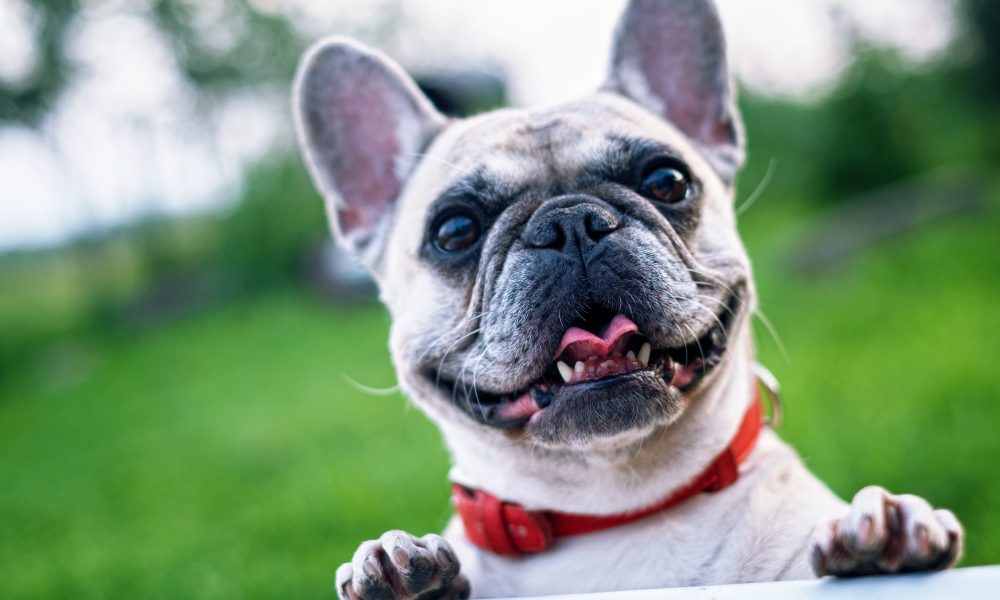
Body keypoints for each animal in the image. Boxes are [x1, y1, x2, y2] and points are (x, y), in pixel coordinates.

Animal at [292, 1, 964, 596]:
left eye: (667, 181)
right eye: (454, 229)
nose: (569, 222)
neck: (613, 510)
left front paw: (890, 534)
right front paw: (400, 573)